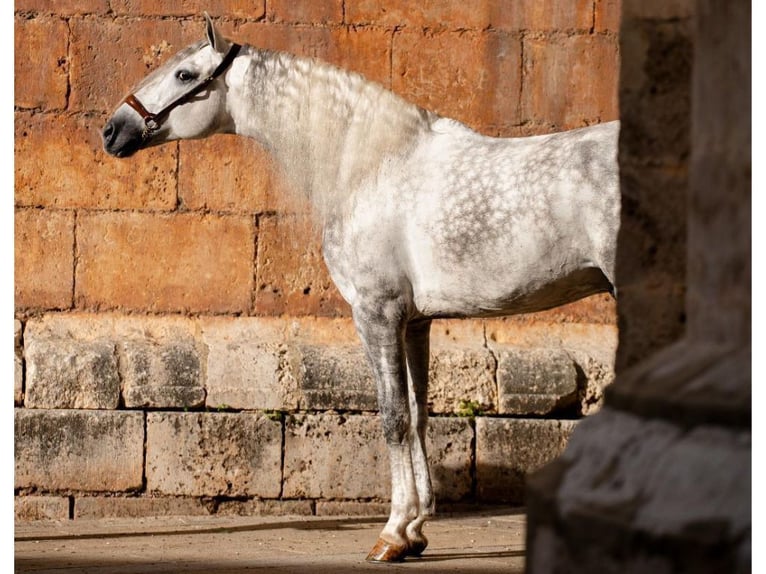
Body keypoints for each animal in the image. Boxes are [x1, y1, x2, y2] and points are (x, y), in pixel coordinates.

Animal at [102, 14, 620, 568]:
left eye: (184, 74)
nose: (112, 130)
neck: (369, 165)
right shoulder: (415, 322)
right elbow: (417, 415)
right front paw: (415, 530)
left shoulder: (377, 313)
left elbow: (392, 418)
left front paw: (392, 534)